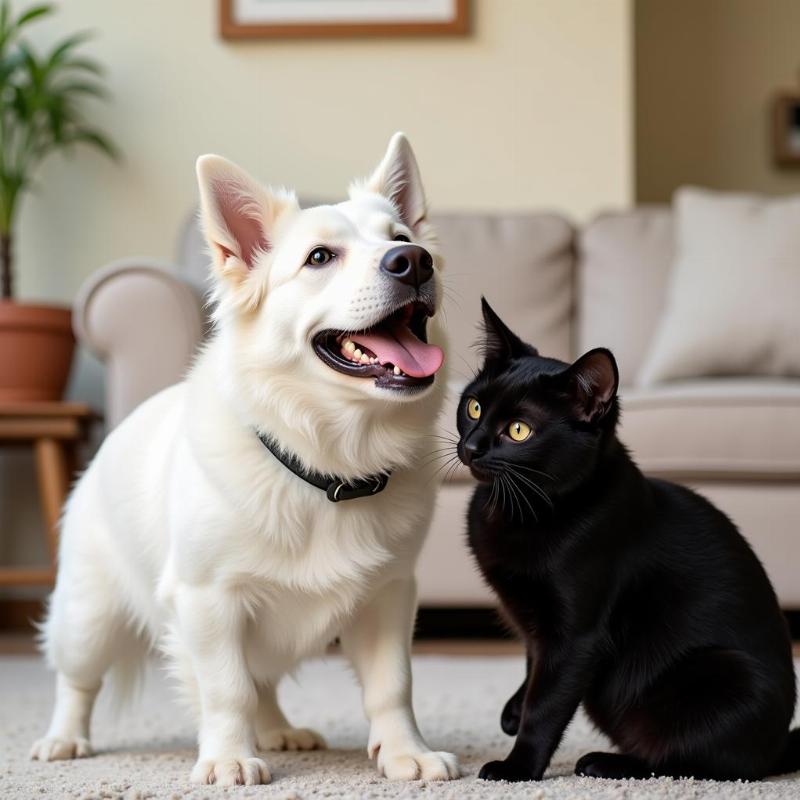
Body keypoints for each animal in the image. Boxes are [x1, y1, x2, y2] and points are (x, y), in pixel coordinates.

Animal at [31, 133, 460, 788]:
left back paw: (279, 729)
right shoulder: (209, 600)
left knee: (265, 683)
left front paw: (405, 751)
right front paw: (229, 757)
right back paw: (64, 738)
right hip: (89, 617)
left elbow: (393, 685)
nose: (413, 261)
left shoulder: (389, 596)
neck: (323, 465)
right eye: (319, 258)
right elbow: (225, 689)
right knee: (77, 680)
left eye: (400, 236)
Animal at [456, 298, 800, 780]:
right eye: (472, 407)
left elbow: (546, 706)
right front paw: (513, 711)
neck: (516, 508)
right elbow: (532, 667)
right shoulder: (535, 625)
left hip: (723, 673)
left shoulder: (577, 637)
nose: (471, 447)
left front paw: (517, 768)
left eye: (519, 430)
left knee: (695, 761)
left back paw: (605, 762)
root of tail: (779, 747)